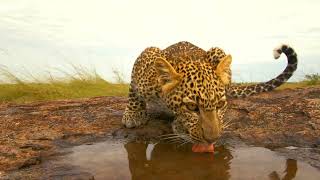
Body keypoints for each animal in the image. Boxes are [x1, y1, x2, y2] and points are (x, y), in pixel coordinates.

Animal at [121, 41, 298, 144]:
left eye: (220, 104)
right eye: (192, 107)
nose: (213, 140)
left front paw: (179, 125)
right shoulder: (146, 58)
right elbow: (133, 92)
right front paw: (133, 115)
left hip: (217, 50)